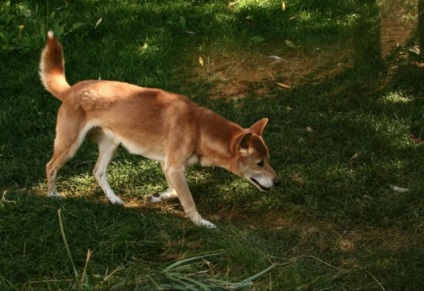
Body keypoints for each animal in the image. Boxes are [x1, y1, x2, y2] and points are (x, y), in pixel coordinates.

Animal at [39, 31, 278, 228]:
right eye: (259, 163)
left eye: (268, 159)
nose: (279, 182)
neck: (199, 128)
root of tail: (71, 90)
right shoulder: (173, 167)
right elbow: (188, 200)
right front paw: (201, 223)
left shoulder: (170, 166)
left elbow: (174, 191)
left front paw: (156, 197)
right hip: (69, 145)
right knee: (51, 166)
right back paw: (52, 195)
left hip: (111, 144)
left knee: (98, 171)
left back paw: (114, 199)